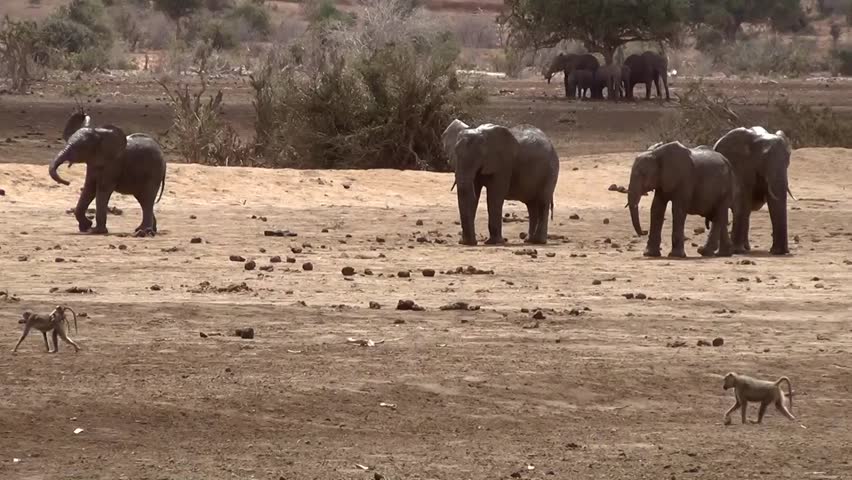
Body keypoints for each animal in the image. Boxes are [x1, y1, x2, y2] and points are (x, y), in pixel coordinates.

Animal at [708, 126, 796, 255]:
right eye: (764, 158)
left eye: (788, 160)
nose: (784, 252)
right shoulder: (740, 166)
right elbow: (743, 199)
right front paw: (737, 251)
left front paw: (777, 252)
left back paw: (746, 248)